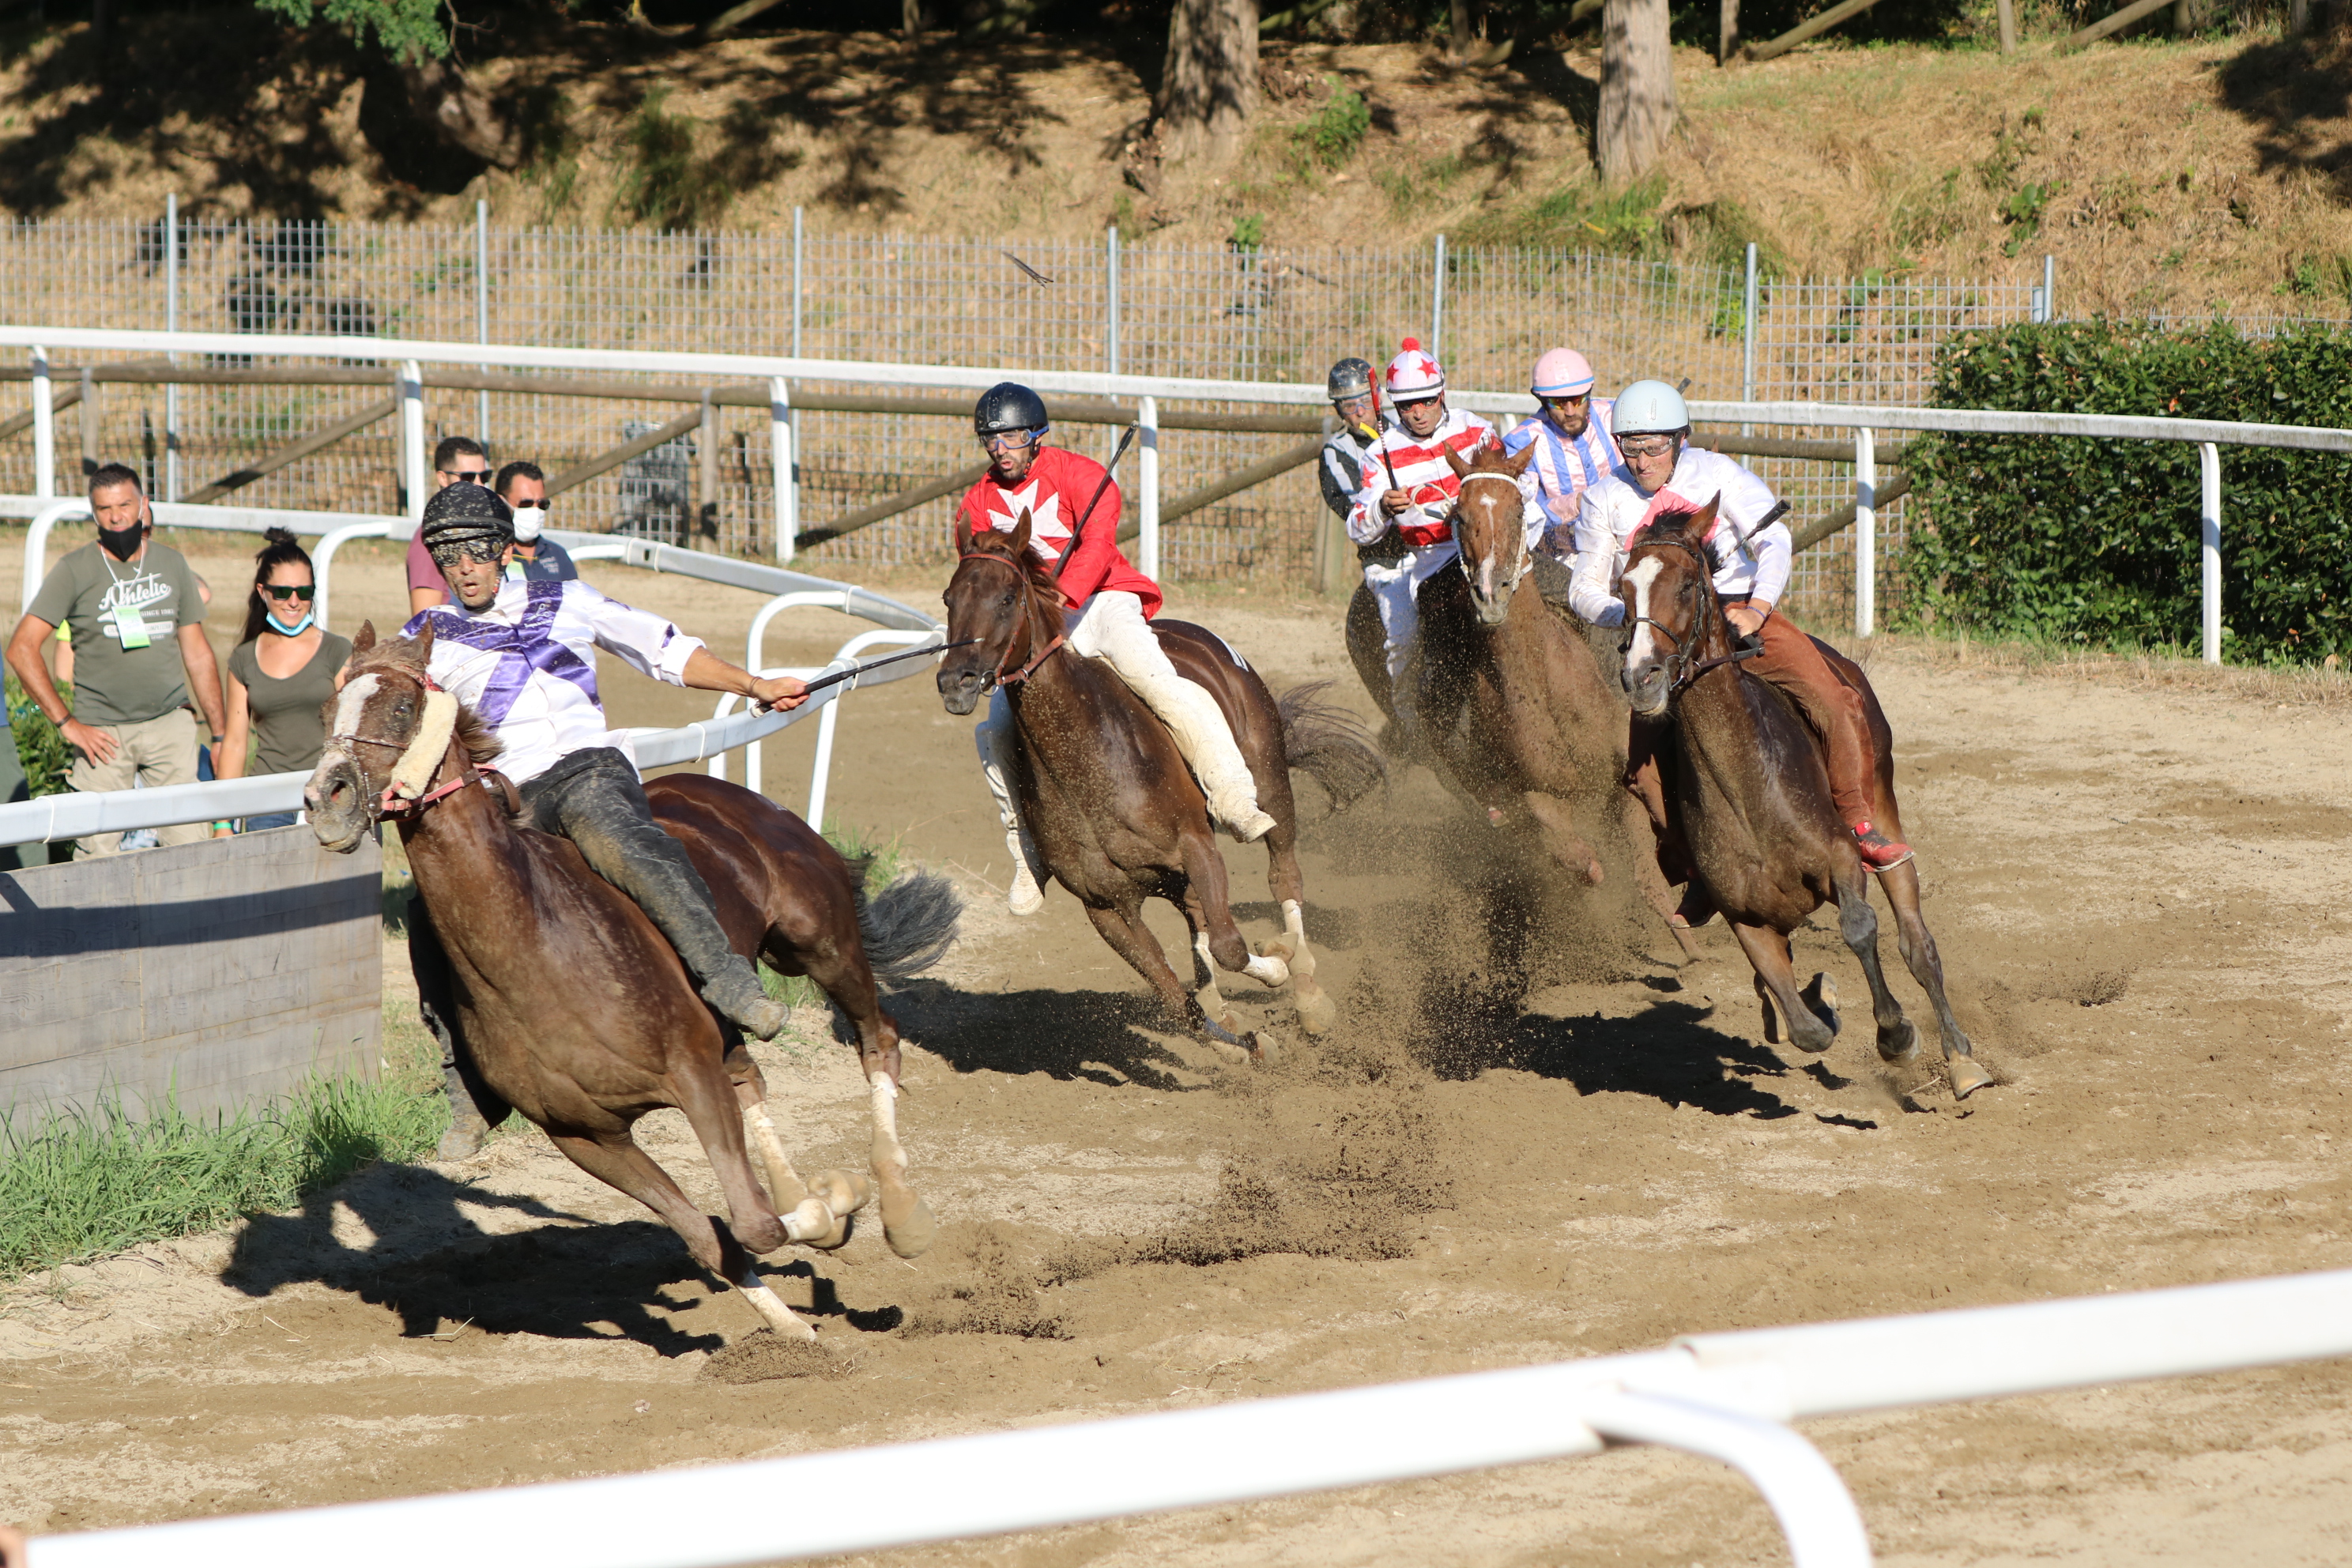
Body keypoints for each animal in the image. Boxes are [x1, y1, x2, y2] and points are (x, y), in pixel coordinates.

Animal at [305, 620, 964, 1344]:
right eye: (326, 709)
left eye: (401, 705)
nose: (326, 798)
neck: (539, 950)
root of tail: (746, 802)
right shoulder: (586, 1137)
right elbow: (714, 1237)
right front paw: (794, 1323)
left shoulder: (692, 1073)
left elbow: (755, 1224)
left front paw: (835, 1206)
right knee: (753, 1078)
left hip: (821, 943)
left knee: (879, 1039)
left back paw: (901, 1213)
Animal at [931, 514, 1382, 1053]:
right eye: (949, 598)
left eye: (1005, 598)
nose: (955, 680)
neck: (1086, 767)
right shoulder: (1105, 906)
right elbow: (1176, 998)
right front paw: (1240, 1042)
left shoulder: (1197, 847)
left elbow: (1232, 947)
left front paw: (1276, 970)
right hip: (1169, 877)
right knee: (1197, 915)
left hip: (1270, 783)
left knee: (1282, 876)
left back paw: (1309, 992)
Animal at [1627, 510, 1994, 1100]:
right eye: (1623, 589)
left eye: (1685, 586)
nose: (1642, 678)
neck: (1748, 793)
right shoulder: (1743, 917)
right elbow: (1805, 1027)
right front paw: (1821, 1003)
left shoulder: (1840, 860)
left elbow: (1860, 928)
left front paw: (1895, 1034)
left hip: (1882, 806)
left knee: (1916, 943)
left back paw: (1961, 1060)